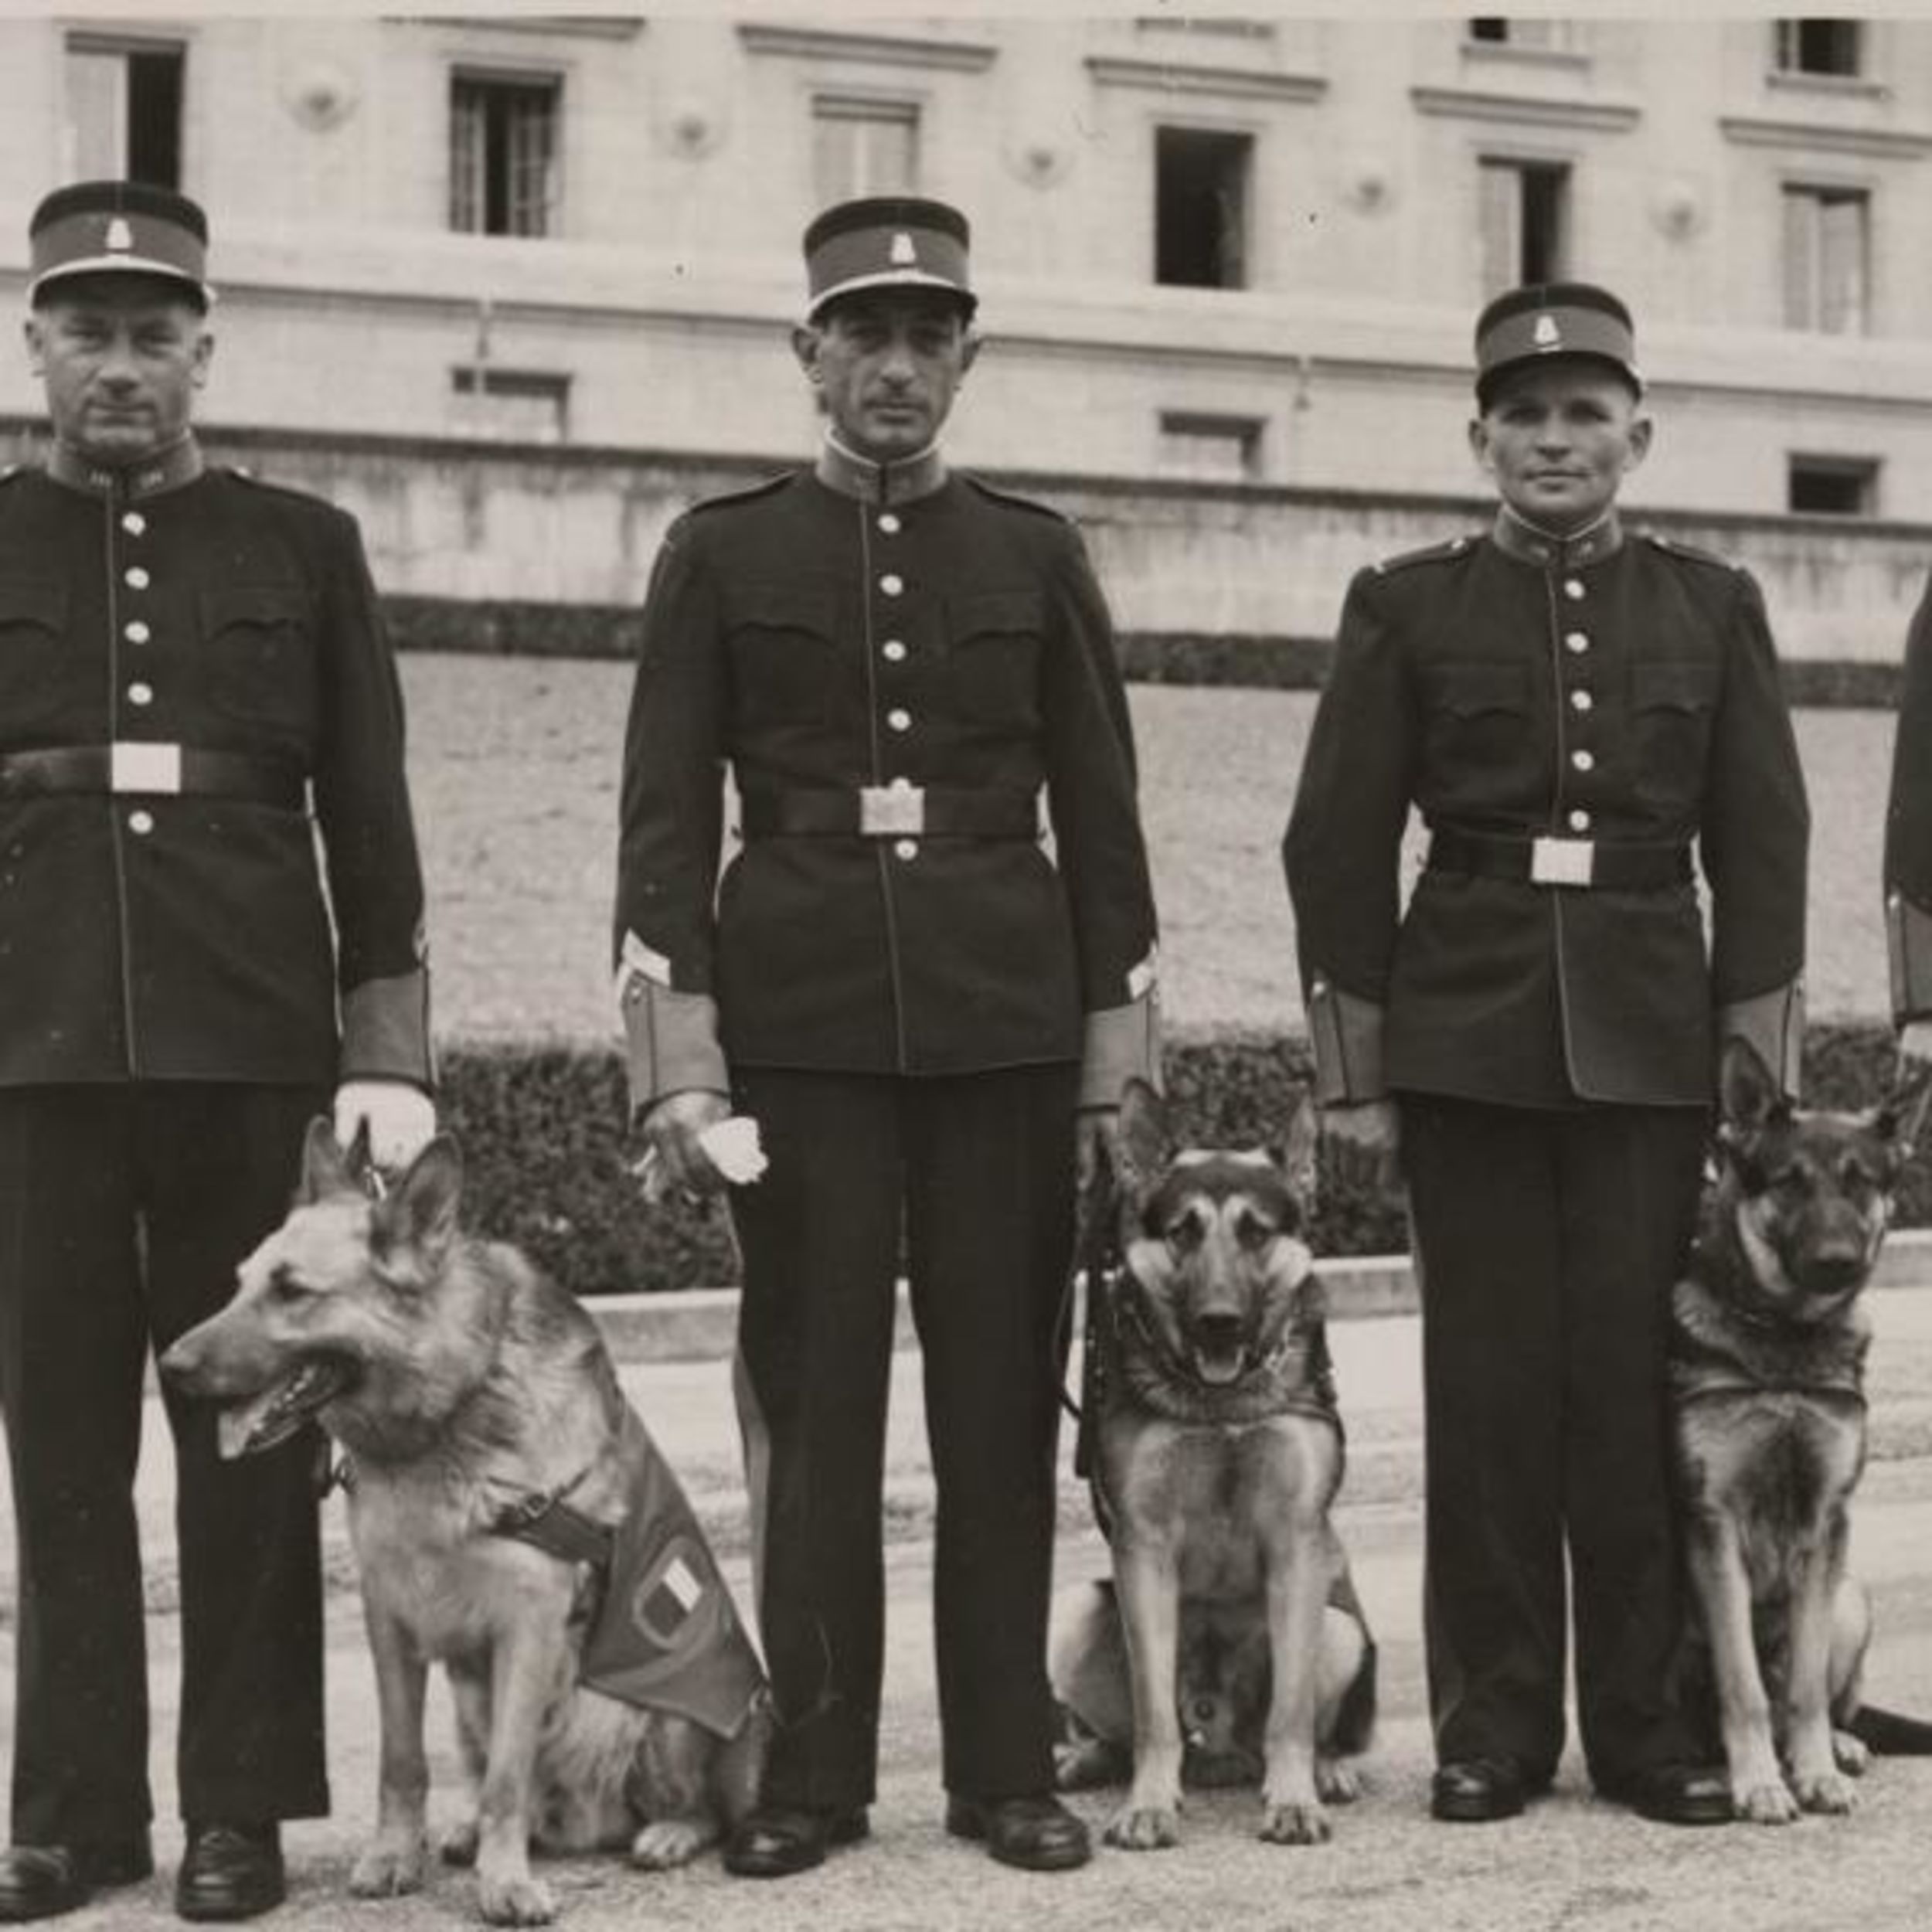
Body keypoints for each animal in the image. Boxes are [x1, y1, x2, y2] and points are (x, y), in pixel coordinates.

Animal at [162, 1128, 769, 1924]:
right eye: (239, 1284)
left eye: (291, 1291)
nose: (170, 1366)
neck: (446, 1413)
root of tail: (588, 1824)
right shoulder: (391, 1623)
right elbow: (403, 1762)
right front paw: (397, 1854)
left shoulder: (527, 1631)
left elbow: (508, 1779)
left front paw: (504, 1882)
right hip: (471, 1705)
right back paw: (469, 1833)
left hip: (653, 1713)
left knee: (696, 1806)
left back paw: (663, 1833)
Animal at [1059, 1082, 1376, 1847]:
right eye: (1183, 1231)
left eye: (1256, 1232)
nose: (1219, 1322)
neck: (1221, 1404)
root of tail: (1221, 1746)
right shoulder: (1143, 1550)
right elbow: (1153, 1717)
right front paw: (1147, 1804)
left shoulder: (1297, 1547)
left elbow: (1291, 1713)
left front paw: (1293, 1801)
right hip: (1075, 1612)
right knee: (1133, 1732)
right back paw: (1090, 1759)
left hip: (1342, 1629)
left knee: (1305, 1723)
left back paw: (1326, 1770)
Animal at [1677, 1036, 1932, 1816]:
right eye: (1788, 1182)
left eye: (1860, 1184)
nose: (1836, 1263)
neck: (1784, 1341)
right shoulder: (1714, 1529)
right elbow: (1745, 1688)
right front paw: (1758, 1781)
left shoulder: (1826, 1528)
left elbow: (1806, 1688)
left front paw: (1814, 1769)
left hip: (1852, 1597)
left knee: (1827, 1694)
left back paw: (1838, 1747)